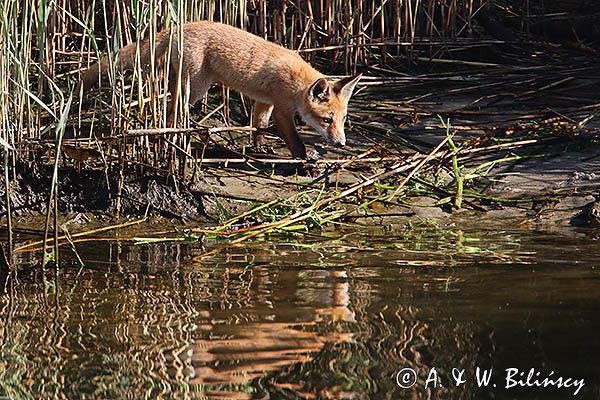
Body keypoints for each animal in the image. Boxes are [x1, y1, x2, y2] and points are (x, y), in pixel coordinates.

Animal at [79, 20, 360, 159]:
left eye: (342, 119)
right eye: (326, 120)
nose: (342, 143)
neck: (296, 82)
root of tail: (178, 27)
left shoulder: (265, 102)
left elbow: (259, 126)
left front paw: (259, 148)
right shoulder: (281, 109)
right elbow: (295, 141)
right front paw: (305, 160)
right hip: (195, 88)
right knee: (171, 112)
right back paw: (172, 139)